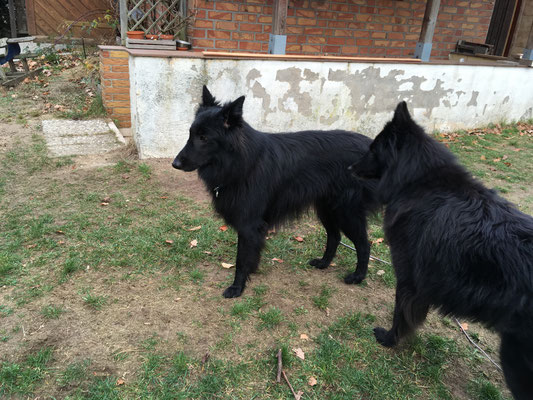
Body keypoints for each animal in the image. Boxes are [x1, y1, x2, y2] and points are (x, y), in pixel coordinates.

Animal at [174, 88, 378, 300]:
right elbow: (251, 255)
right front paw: (251, 271)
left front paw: (237, 287)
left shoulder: (248, 225)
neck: (242, 162)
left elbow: (240, 260)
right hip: (327, 209)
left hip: (346, 212)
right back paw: (324, 263)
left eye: (204, 138)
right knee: (334, 236)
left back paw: (358, 276)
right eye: (191, 134)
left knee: (364, 245)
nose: (175, 164)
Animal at [350, 101, 532, 398]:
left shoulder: (407, 278)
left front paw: (390, 339)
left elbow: (401, 312)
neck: (417, 182)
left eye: (373, 149)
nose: (349, 167)